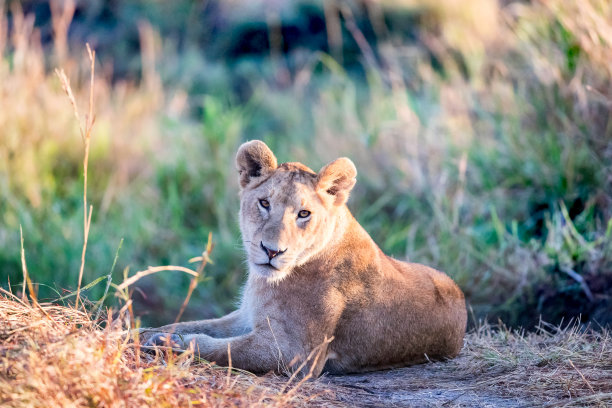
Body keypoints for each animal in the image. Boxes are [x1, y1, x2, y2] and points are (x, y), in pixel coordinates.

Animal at [143, 140, 466, 376]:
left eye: (304, 213)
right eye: (264, 203)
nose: (272, 251)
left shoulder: (295, 352)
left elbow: (220, 348)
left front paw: (166, 344)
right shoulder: (246, 316)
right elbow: (191, 324)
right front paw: (145, 332)